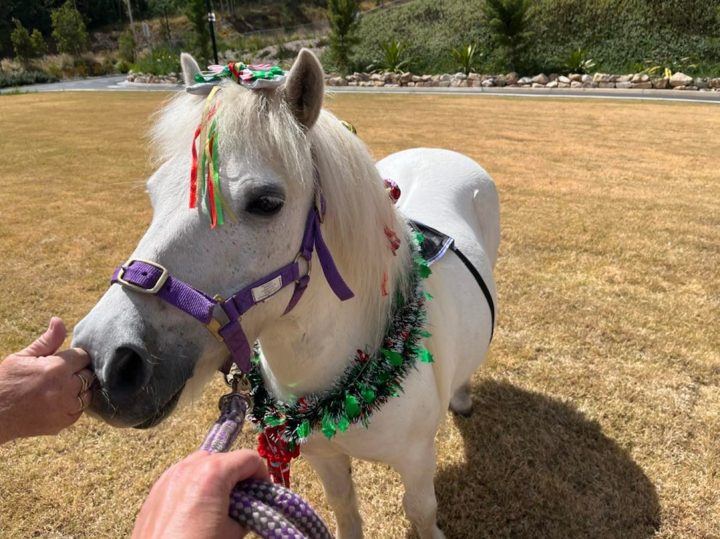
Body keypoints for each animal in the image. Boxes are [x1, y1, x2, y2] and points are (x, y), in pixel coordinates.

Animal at [73, 48, 499, 539]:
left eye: (266, 202)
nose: (106, 361)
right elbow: (344, 507)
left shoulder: (416, 460)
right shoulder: (325, 457)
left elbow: (421, 511)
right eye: (152, 192)